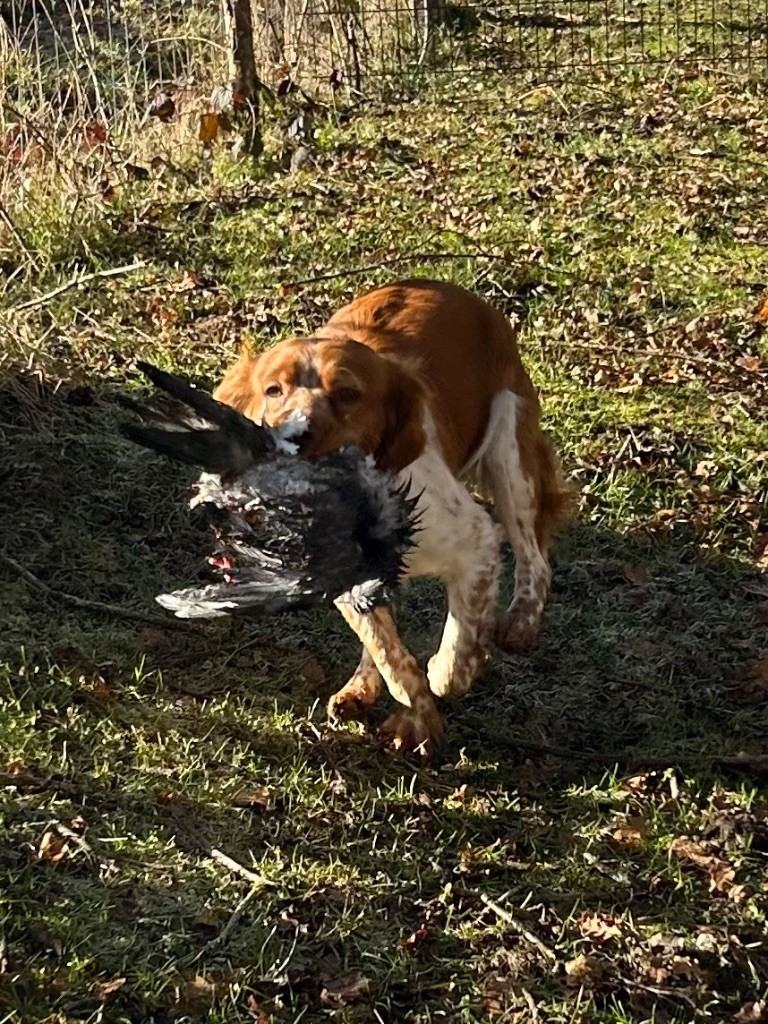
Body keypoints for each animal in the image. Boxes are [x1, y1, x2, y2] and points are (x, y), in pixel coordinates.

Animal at [214, 278, 569, 753]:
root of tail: (457, 291)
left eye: (348, 393)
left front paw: (453, 671)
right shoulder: (346, 578)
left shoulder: (476, 541)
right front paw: (414, 716)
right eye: (273, 390)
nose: (296, 435)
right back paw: (359, 690)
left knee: (535, 557)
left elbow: (456, 648)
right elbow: (389, 654)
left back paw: (521, 623)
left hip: (509, 457)